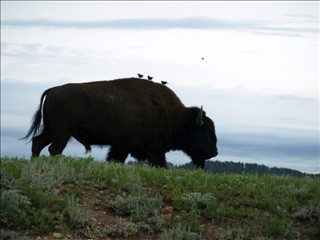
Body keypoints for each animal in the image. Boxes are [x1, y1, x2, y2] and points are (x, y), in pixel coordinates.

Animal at [23, 78, 218, 168]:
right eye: (206, 131)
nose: (214, 152)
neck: (176, 117)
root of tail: (53, 89)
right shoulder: (155, 147)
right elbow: (160, 163)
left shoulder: (122, 146)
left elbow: (114, 159)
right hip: (62, 132)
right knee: (54, 149)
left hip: (52, 130)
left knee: (38, 142)